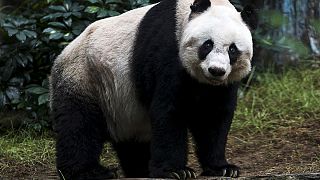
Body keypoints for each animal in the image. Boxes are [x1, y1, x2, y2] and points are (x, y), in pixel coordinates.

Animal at [49, 0, 258, 179]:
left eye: (233, 50)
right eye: (207, 44)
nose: (216, 70)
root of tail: (61, 55)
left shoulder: (221, 86)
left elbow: (212, 117)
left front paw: (223, 168)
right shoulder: (168, 51)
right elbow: (169, 111)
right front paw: (176, 171)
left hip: (123, 106)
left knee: (133, 144)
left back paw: (140, 170)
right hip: (86, 78)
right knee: (79, 126)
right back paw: (89, 172)